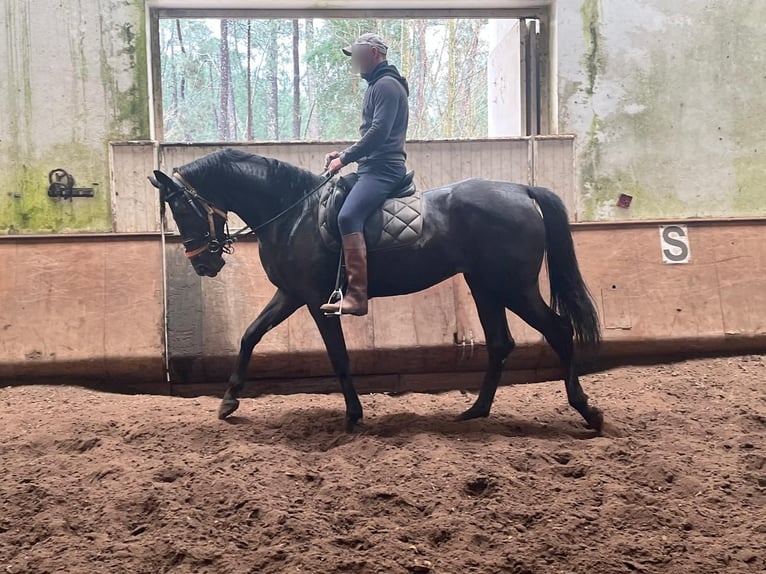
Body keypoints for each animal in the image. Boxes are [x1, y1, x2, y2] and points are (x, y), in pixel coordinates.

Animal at [148, 148, 604, 433]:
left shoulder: (314, 300)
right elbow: (250, 335)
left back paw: (586, 411)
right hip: (486, 286)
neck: (293, 212)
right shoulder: (291, 294)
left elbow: (338, 356)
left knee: (558, 330)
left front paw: (353, 415)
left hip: (514, 286)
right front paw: (229, 401)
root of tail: (521, 190)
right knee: (500, 343)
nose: (203, 264)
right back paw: (475, 411)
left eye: (183, 208)